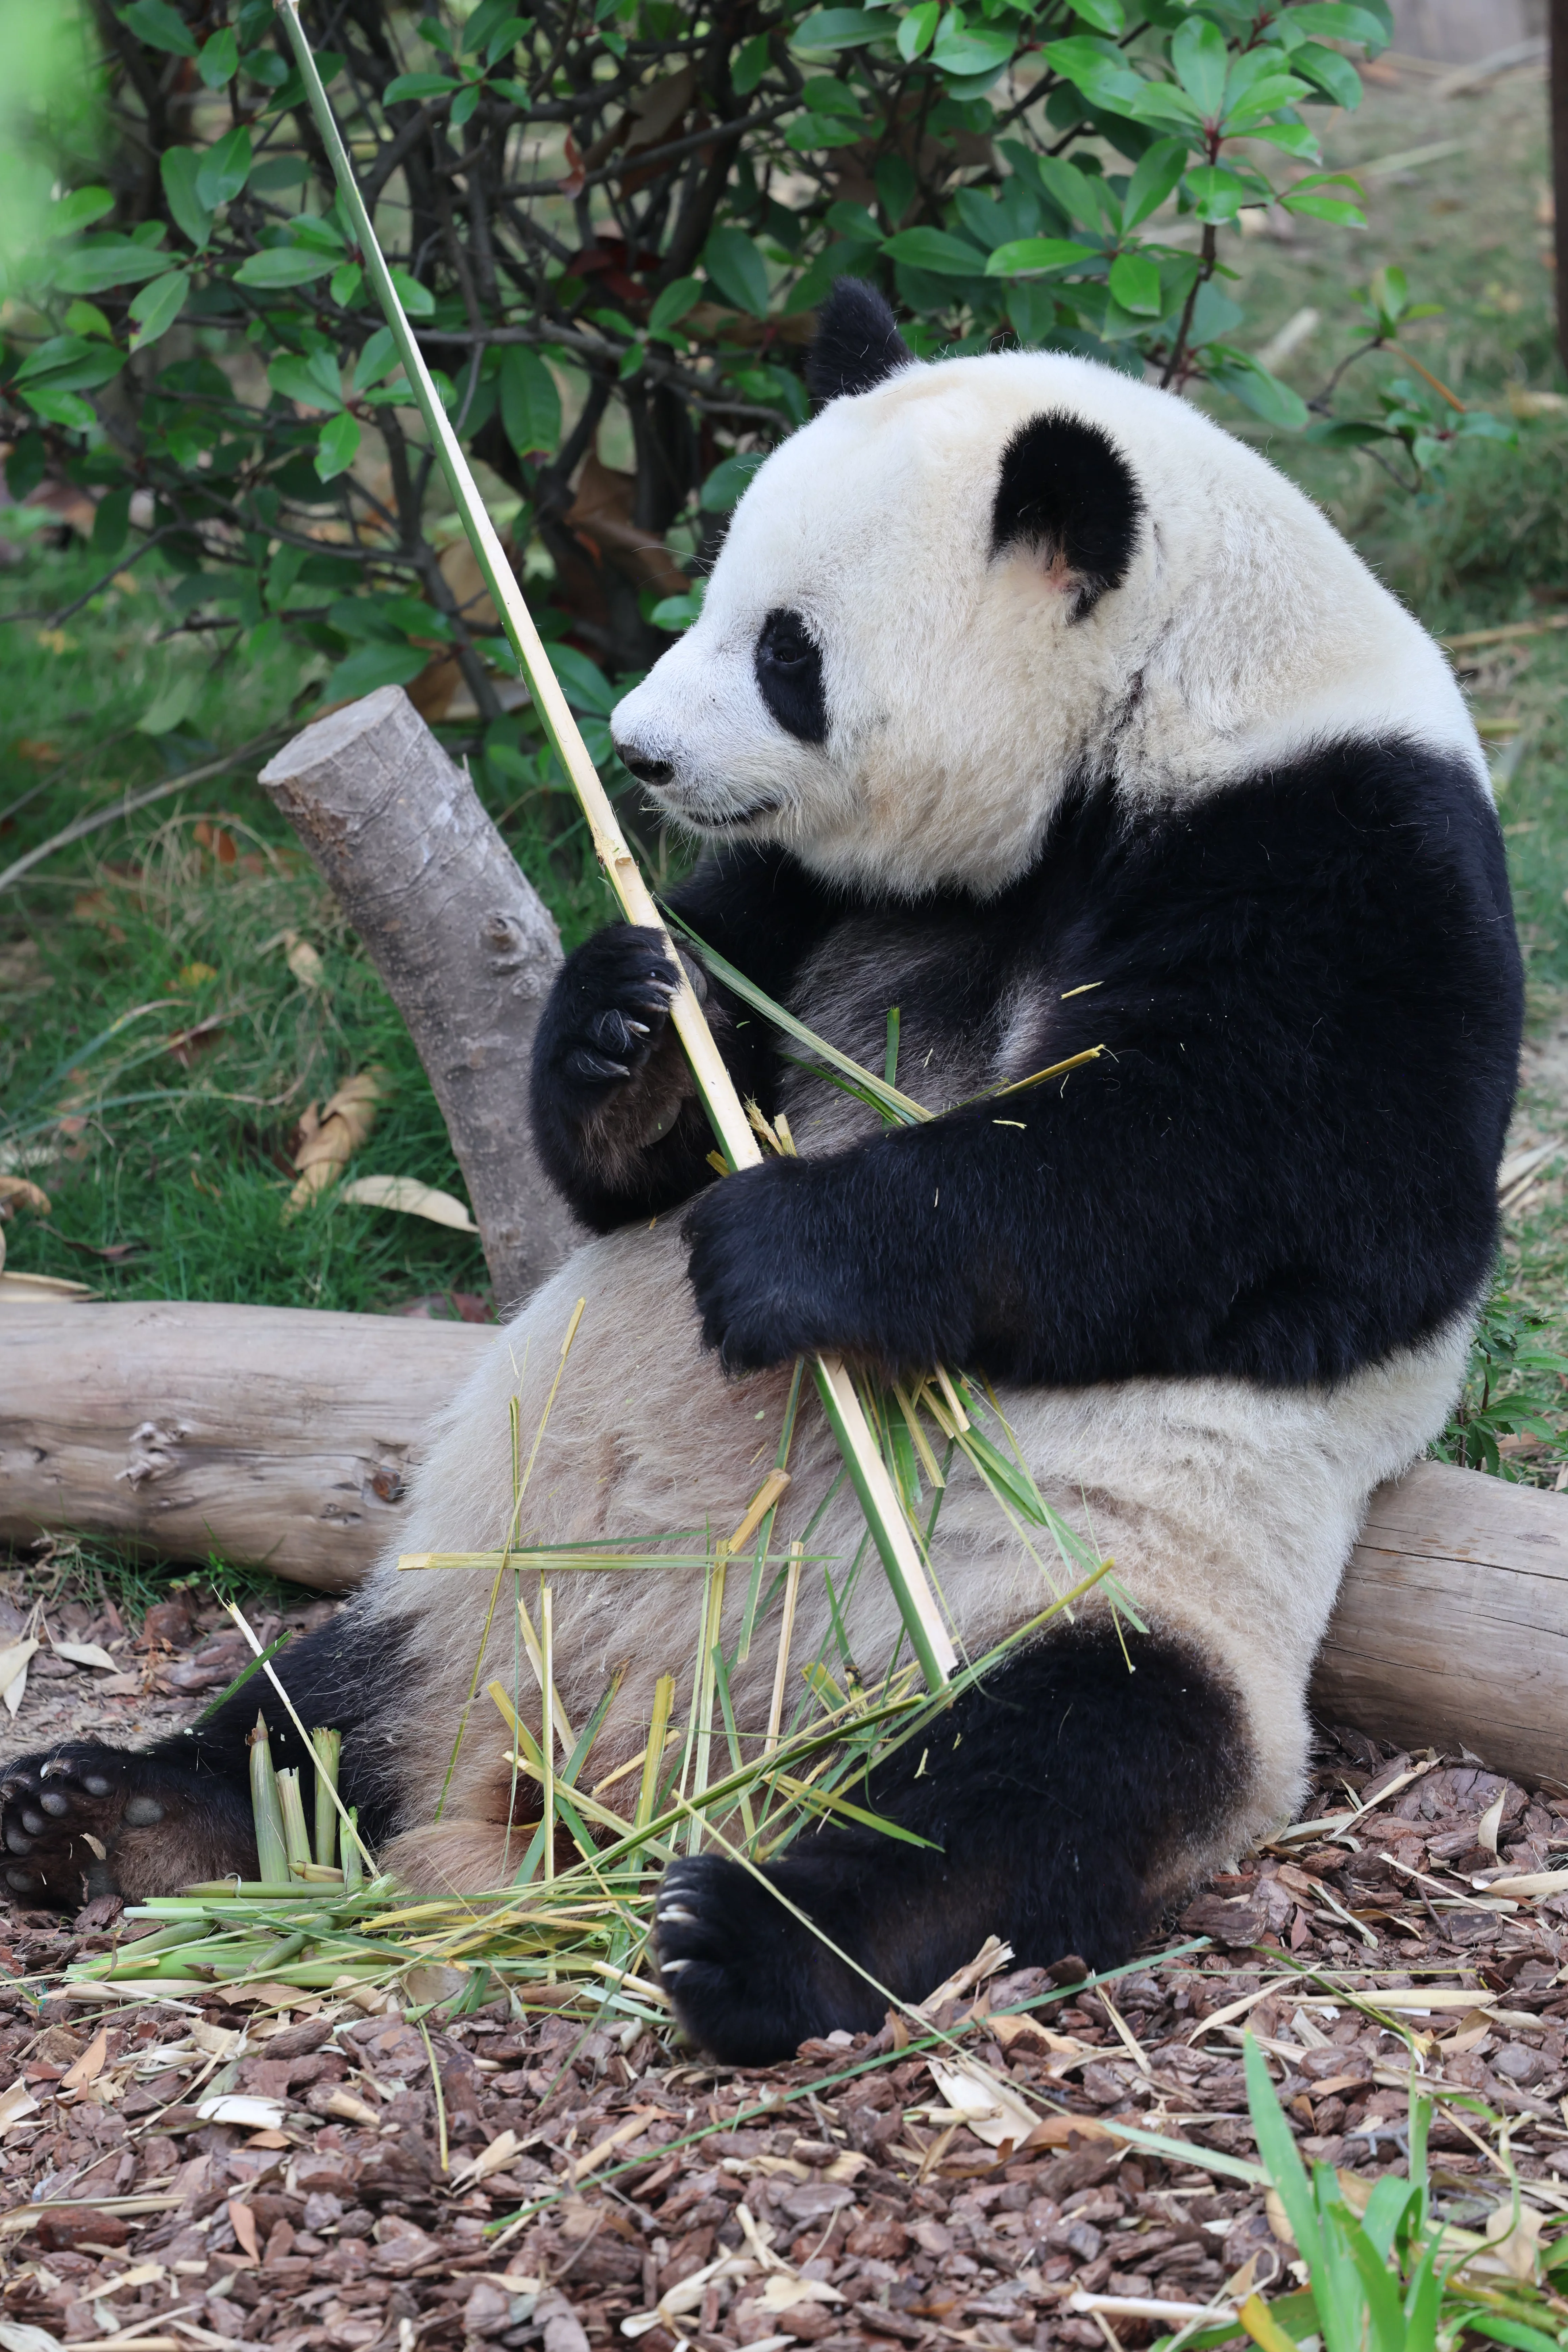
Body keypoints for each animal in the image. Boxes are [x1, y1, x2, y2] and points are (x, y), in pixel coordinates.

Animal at [0, 281, 1521, 2066]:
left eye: (786, 650)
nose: (638, 754)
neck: (1154, 710)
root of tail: (654, 1756)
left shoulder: (1342, 848)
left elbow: (1286, 1191)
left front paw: (788, 1251)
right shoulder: (811, 890)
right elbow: (638, 1142)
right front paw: (624, 1026)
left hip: (1087, 1597)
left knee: (1042, 1773)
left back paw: (756, 1935)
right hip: (486, 1579)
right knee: (327, 1701)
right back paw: (109, 1812)